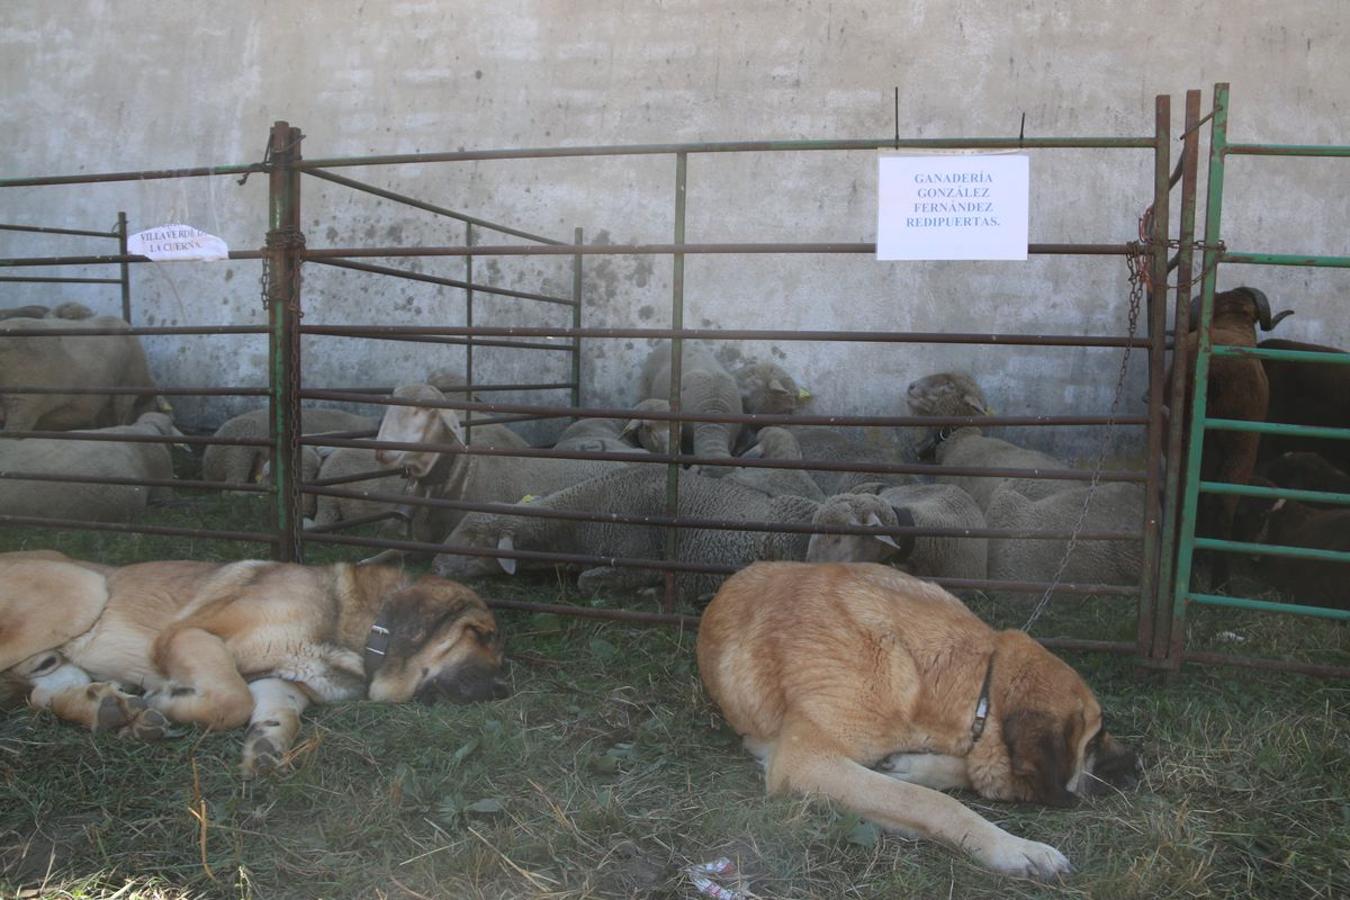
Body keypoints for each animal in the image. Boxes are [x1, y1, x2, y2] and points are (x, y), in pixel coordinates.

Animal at [0, 550, 507, 777]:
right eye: (478, 634)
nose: (504, 690)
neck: (353, 626)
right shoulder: (191, 635)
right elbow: (231, 700)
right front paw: (166, 698)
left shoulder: (281, 680)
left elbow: (277, 712)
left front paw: (266, 745)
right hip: (82, 590)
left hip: (57, 654)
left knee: (42, 693)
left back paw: (108, 710)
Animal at [696, 564, 1139, 879]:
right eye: (1094, 740)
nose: (1136, 763)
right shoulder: (805, 760)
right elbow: (932, 803)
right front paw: (1017, 849)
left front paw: (912, 767)